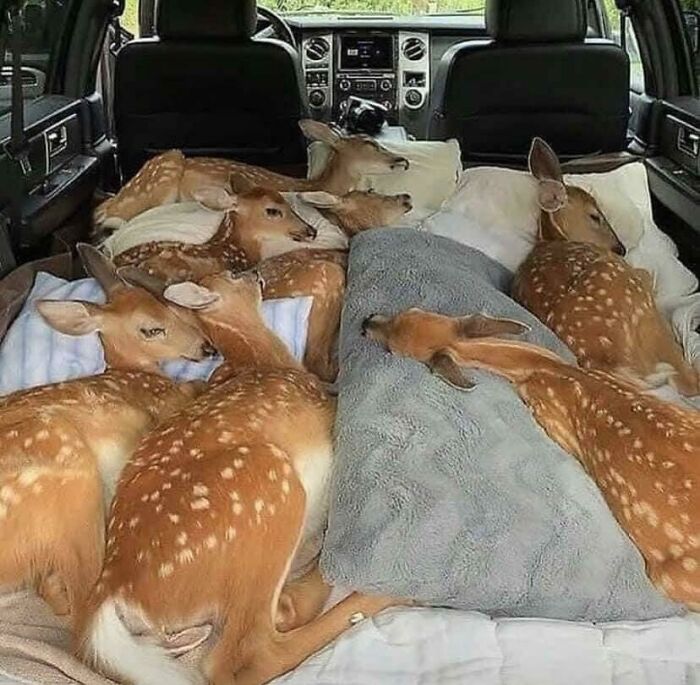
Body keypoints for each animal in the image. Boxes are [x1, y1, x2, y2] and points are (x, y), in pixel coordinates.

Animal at [76, 269, 405, 685]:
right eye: (234, 274)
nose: (256, 273)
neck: (260, 360)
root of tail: (113, 587)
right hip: (265, 488)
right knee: (248, 653)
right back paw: (382, 592)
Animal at [363, 308, 699, 609]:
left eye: (394, 348)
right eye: (409, 311)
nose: (366, 323)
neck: (548, 368)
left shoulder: (551, 418)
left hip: (670, 577)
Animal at [512, 138, 699, 397]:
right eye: (594, 216)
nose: (621, 249)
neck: (553, 239)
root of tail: (610, 361)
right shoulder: (636, 276)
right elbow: (646, 273)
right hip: (640, 305)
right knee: (687, 381)